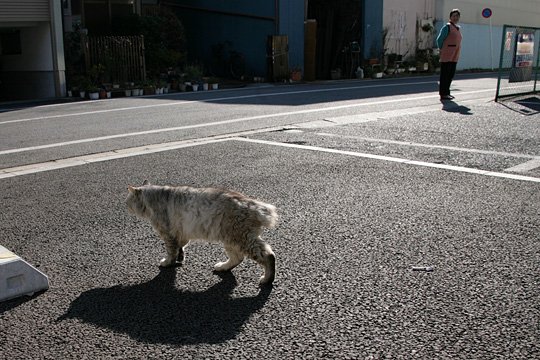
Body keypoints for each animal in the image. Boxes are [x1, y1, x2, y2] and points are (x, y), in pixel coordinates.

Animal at [127, 181, 278, 286]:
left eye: (128, 201)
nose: (126, 206)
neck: (154, 197)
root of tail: (257, 206)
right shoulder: (181, 233)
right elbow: (180, 246)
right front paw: (180, 257)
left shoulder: (167, 232)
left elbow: (171, 251)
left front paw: (167, 262)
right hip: (231, 238)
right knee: (238, 258)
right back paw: (222, 267)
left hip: (241, 237)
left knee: (268, 256)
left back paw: (267, 279)